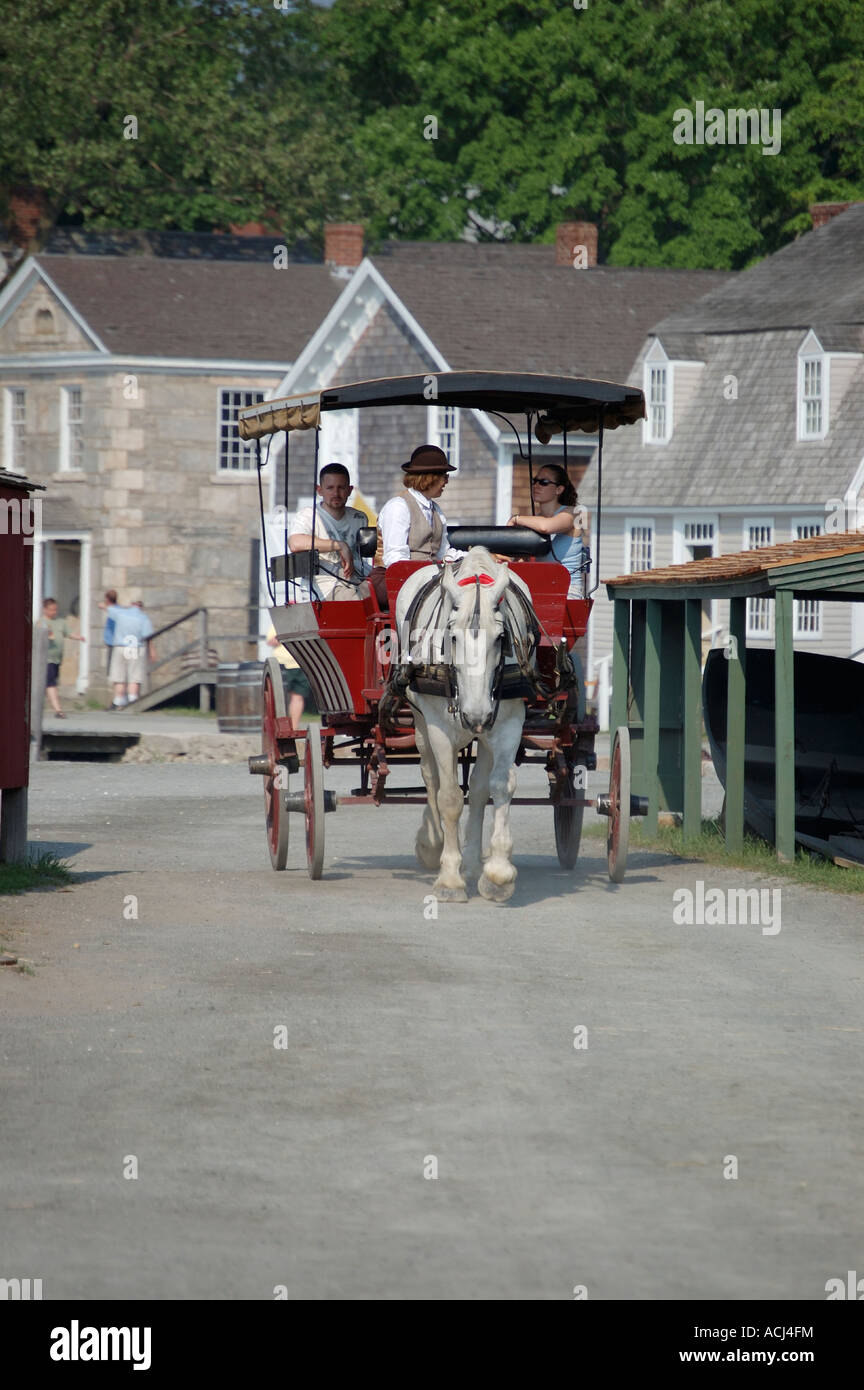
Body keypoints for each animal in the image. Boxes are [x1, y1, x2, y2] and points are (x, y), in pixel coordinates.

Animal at [394, 542, 536, 900]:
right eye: (453, 637)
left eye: (501, 638)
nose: (475, 714)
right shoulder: (439, 729)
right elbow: (449, 798)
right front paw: (449, 878)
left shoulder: (507, 724)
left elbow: (498, 787)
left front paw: (497, 872)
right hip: (421, 725)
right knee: (430, 778)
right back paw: (434, 845)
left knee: (480, 788)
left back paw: (472, 863)